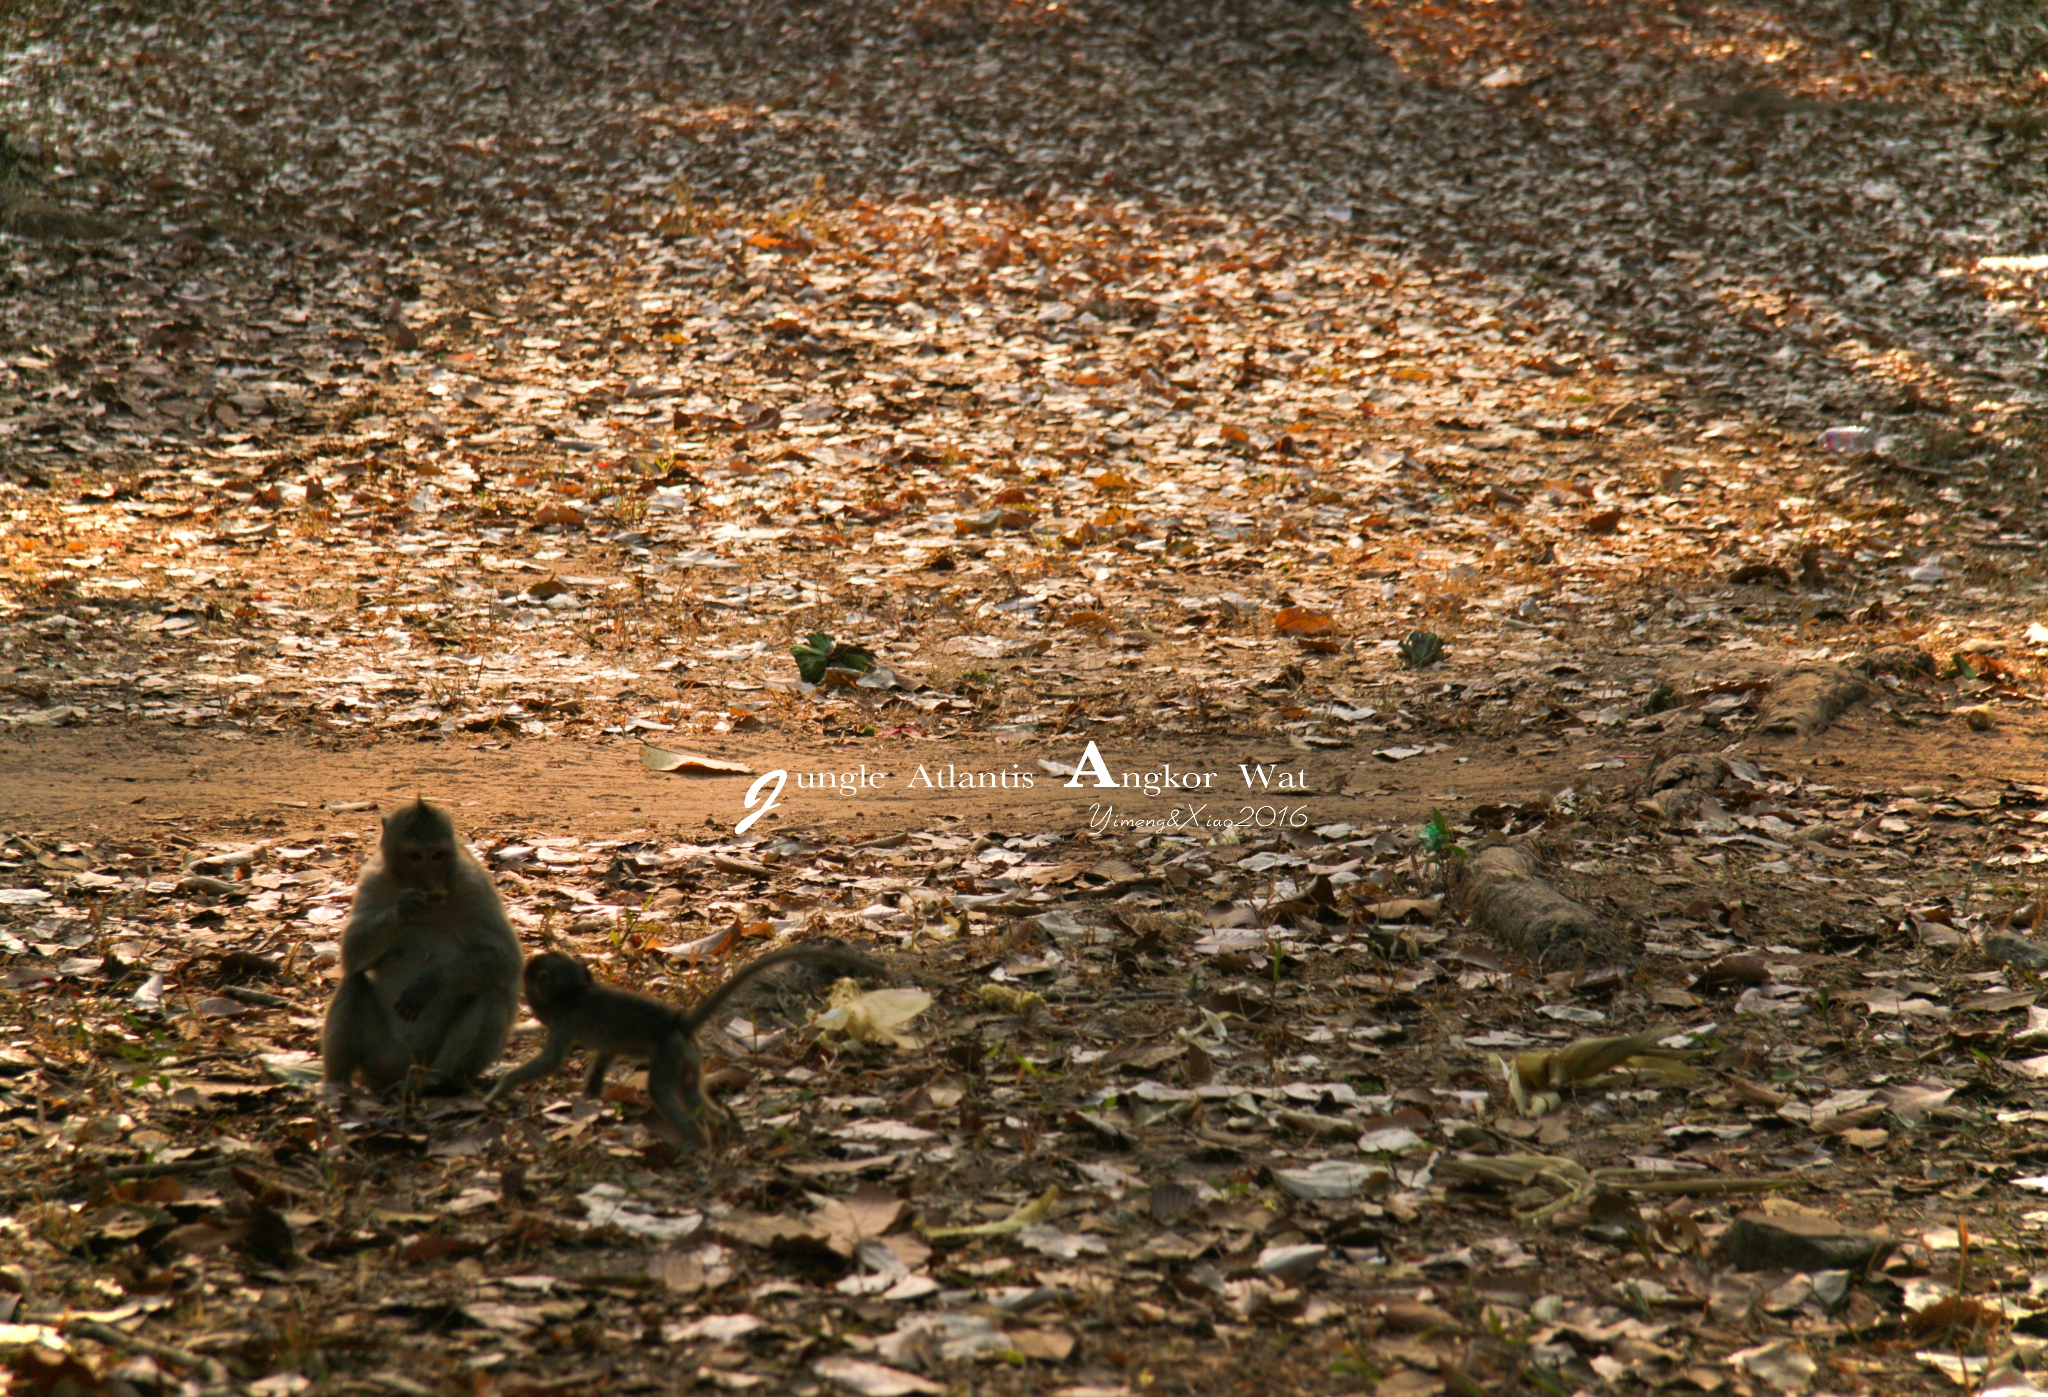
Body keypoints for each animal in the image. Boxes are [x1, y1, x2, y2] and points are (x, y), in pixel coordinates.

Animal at [323, 794, 524, 1089]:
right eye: (416, 856)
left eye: (437, 855)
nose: (429, 882)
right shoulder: (374, 877)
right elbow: (351, 954)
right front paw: (403, 909)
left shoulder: (470, 883)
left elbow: (506, 959)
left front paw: (430, 982)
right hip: (380, 1057)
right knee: (353, 981)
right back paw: (336, 1085)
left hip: (428, 1058)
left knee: (492, 995)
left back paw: (433, 1082)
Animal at [495, 942, 888, 1147]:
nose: (522, 996)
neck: (575, 992)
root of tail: (678, 1024)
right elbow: (607, 1050)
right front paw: (591, 1093)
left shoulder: (564, 1021)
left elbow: (551, 1061)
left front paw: (500, 1088)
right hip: (689, 1055)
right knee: (692, 1093)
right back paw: (727, 1129)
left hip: (670, 1053)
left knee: (663, 1092)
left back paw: (697, 1144)